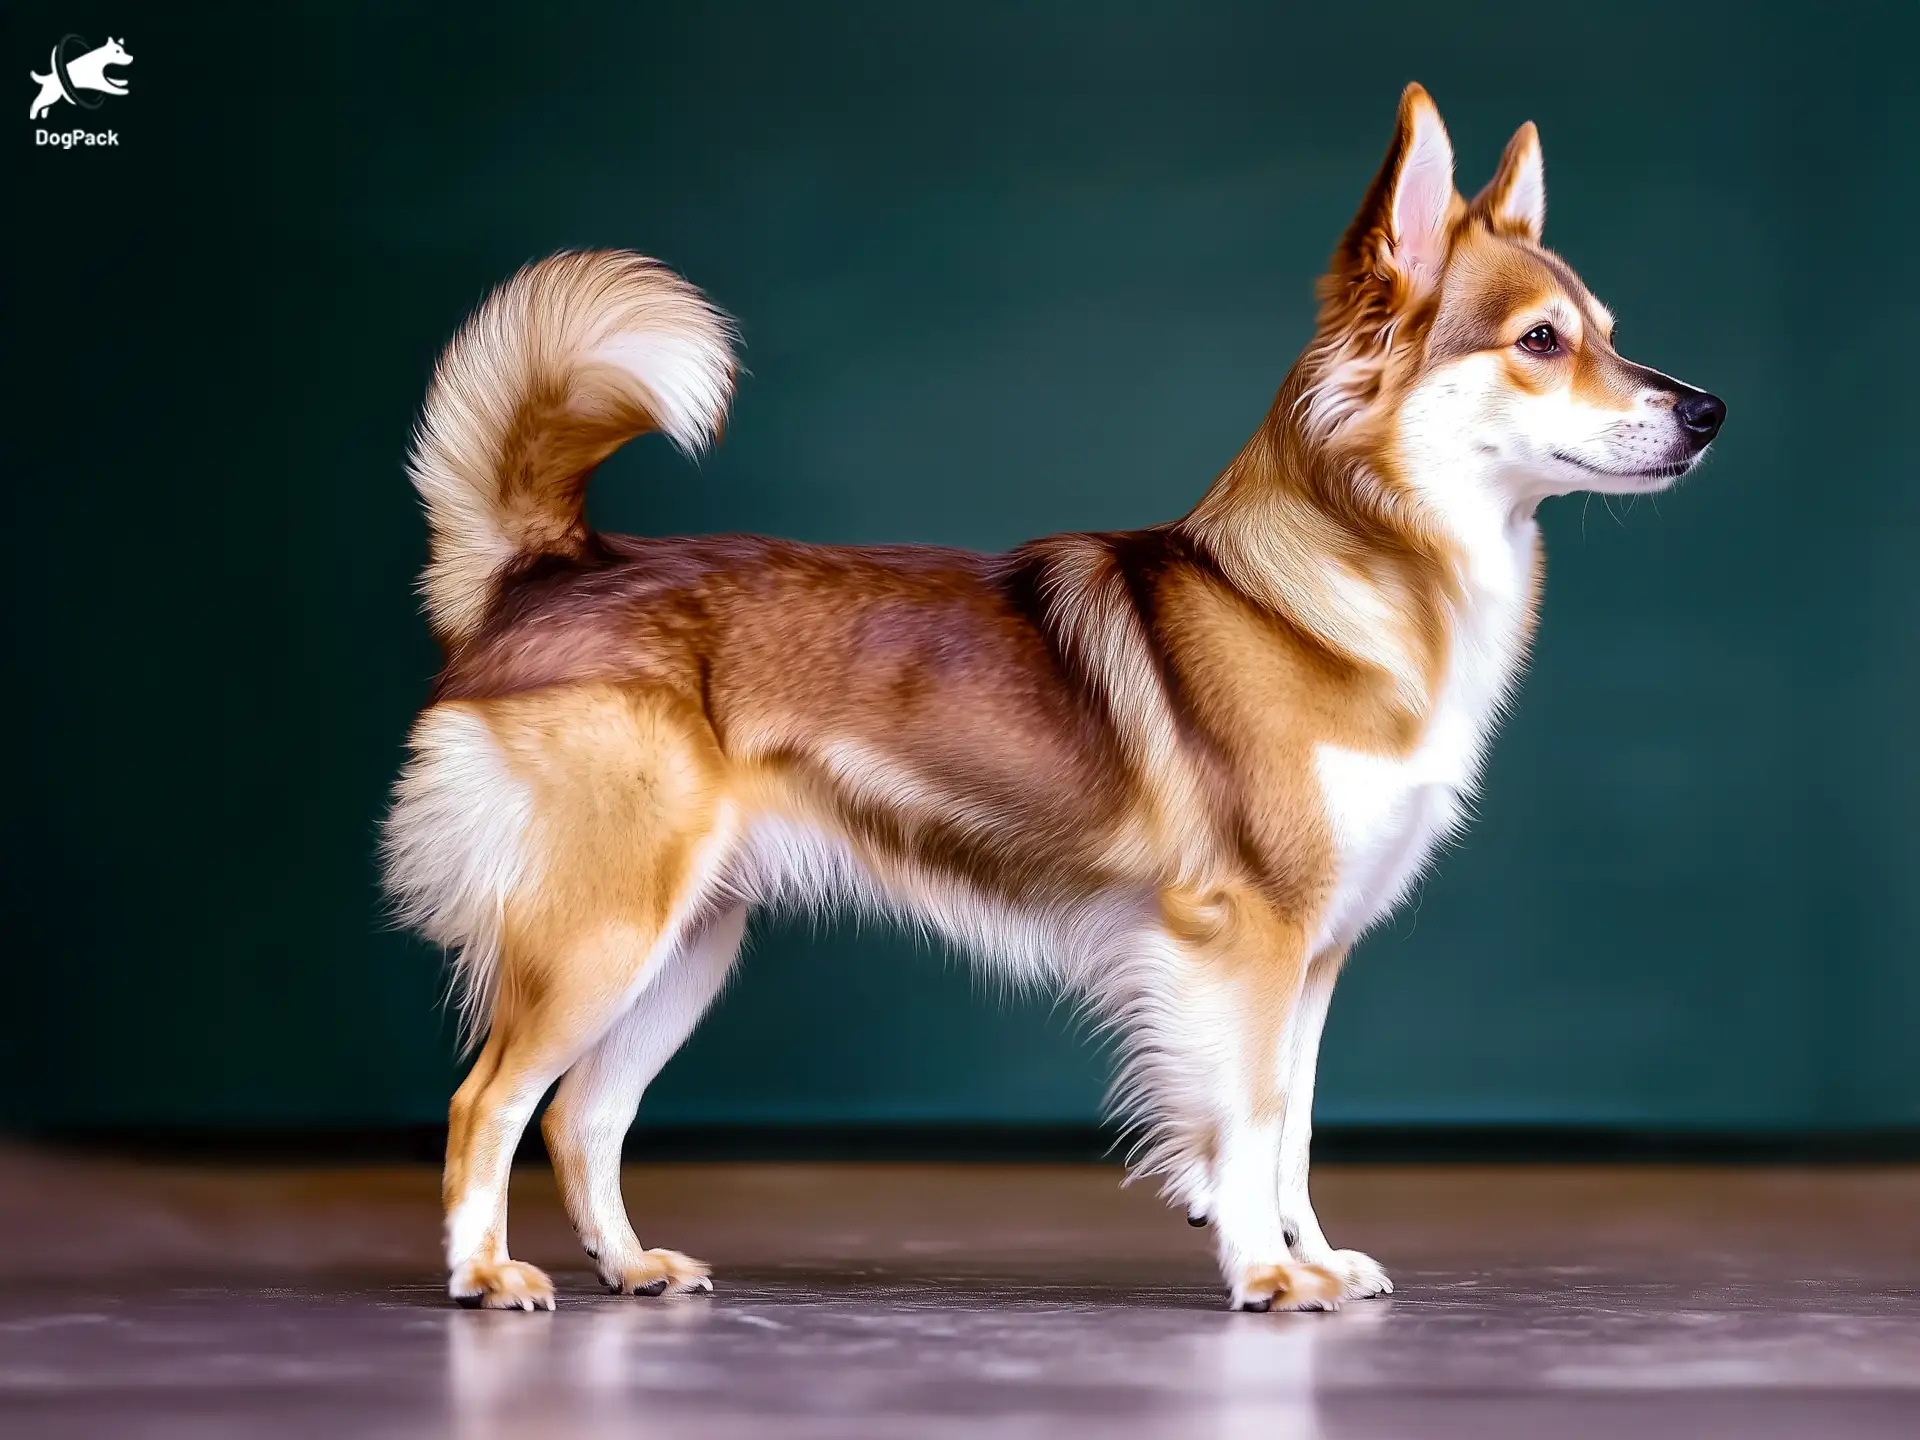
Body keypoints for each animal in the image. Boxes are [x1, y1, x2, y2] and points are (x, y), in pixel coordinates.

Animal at [385, 84, 1728, 1313]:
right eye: (1542, 342)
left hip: (685, 943)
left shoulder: (1315, 956)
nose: (1709, 412)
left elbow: (1291, 1129)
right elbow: (1244, 1121)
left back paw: (629, 1267)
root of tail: (547, 569)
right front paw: (1264, 1273)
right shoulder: (1244, 939)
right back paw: (484, 1275)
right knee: (487, 1099)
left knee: (582, 1115)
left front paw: (1312, 1257)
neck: (1349, 586)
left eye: (1608, 332)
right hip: (600, 930)